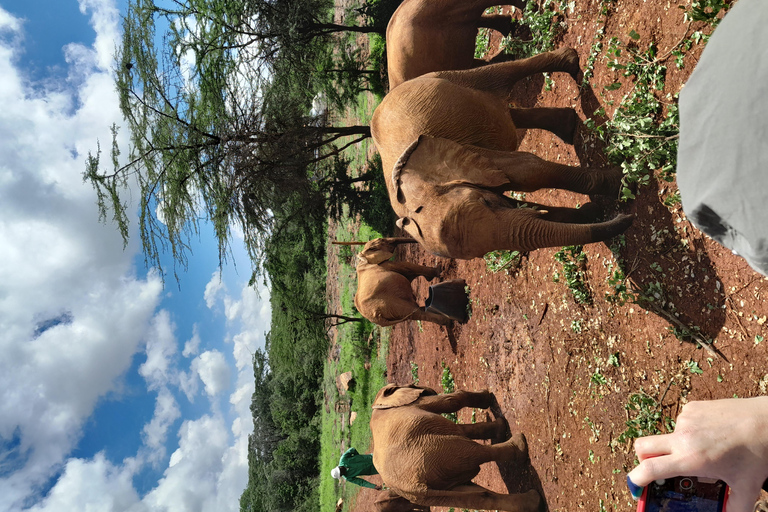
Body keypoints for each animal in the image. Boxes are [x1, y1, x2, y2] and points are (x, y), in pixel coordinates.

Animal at [368, 48, 632, 260]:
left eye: (484, 202)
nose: (625, 216)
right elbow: (517, 198)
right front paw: (591, 211)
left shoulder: (470, 155)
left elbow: (529, 171)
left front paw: (620, 184)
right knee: (505, 118)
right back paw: (567, 127)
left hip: (443, 76)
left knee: (498, 77)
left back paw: (571, 63)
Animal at [370, 384, 540, 512]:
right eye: (412, 385)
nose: (428, 388)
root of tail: (414, 488)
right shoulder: (416, 404)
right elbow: (452, 401)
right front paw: (486, 397)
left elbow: (462, 429)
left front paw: (499, 427)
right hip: (437, 450)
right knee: (475, 452)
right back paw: (519, 444)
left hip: (435, 485)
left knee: (475, 496)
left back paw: (532, 502)